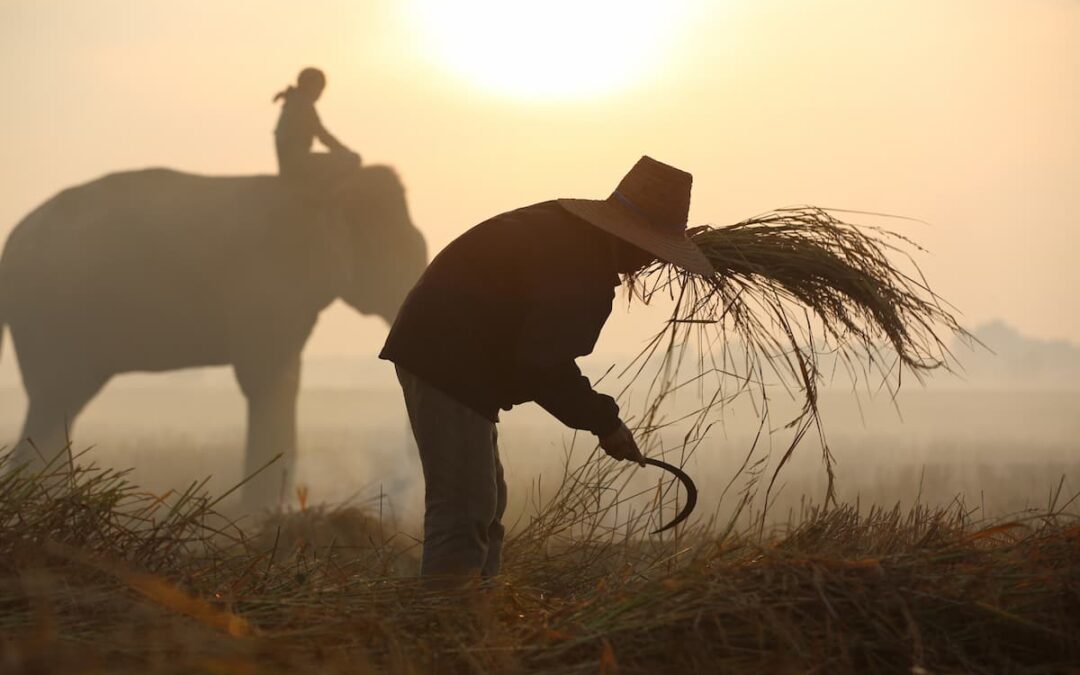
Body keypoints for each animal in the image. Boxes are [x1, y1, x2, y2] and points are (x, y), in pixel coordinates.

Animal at [0, 166, 429, 507]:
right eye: (398, 251)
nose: (405, 488)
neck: (324, 188)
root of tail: (12, 243)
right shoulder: (265, 288)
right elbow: (267, 381)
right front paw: (262, 517)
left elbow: (284, 380)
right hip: (52, 317)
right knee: (54, 400)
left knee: (59, 406)